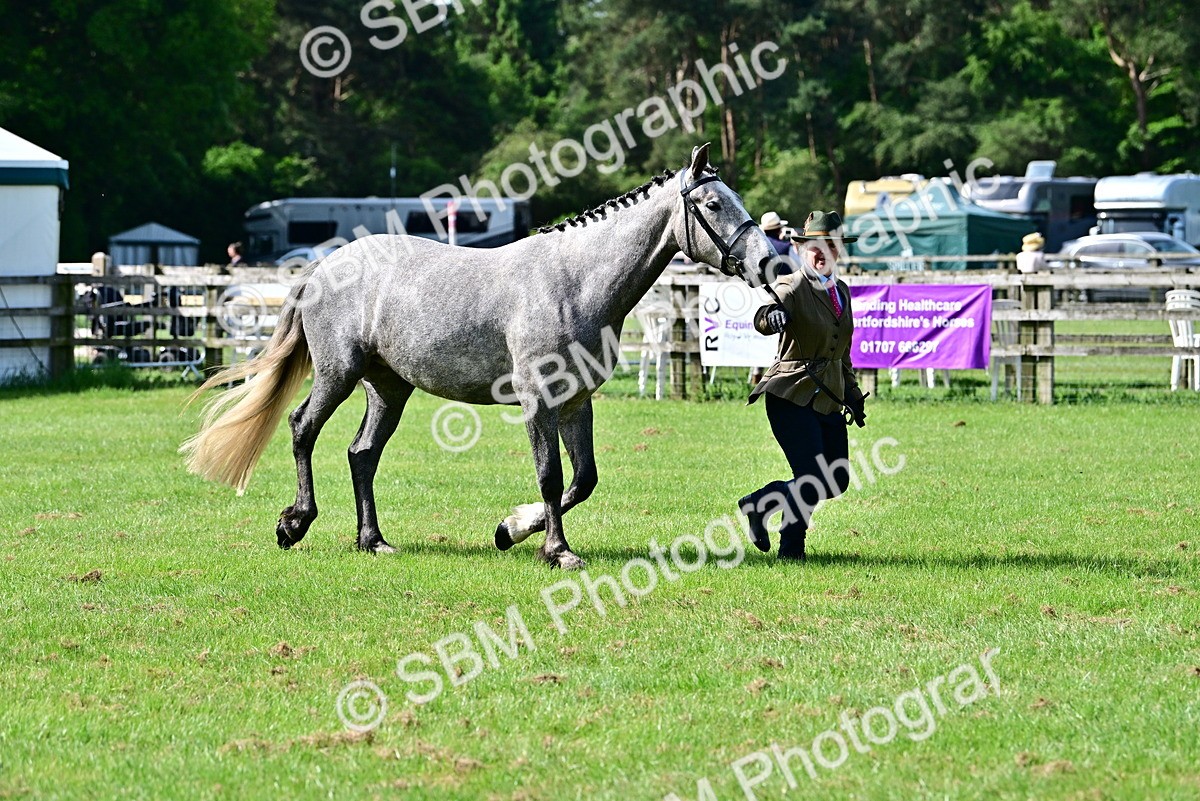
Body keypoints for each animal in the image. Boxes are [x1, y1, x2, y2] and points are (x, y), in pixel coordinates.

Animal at [180, 143, 778, 569]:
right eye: (713, 204)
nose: (768, 263)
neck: (574, 281)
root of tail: (323, 265)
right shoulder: (539, 402)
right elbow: (551, 476)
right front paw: (557, 551)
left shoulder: (575, 403)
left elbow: (582, 480)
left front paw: (511, 530)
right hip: (337, 373)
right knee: (304, 429)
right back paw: (295, 523)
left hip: (388, 387)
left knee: (362, 454)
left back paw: (373, 541)